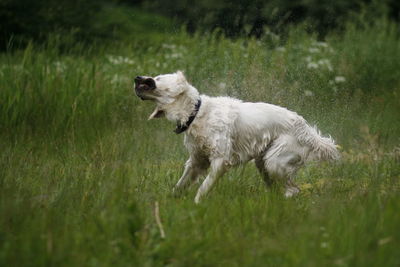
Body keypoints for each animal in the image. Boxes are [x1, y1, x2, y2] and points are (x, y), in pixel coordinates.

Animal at [134, 70, 338, 203]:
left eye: (158, 78)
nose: (136, 78)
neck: (197, 113)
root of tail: (306, 129)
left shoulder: (220, 161)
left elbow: (203, 188)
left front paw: (196, 205)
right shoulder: (196, 161)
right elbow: (179, 185)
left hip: (275, 161)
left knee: (294, 190)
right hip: (263, 163)